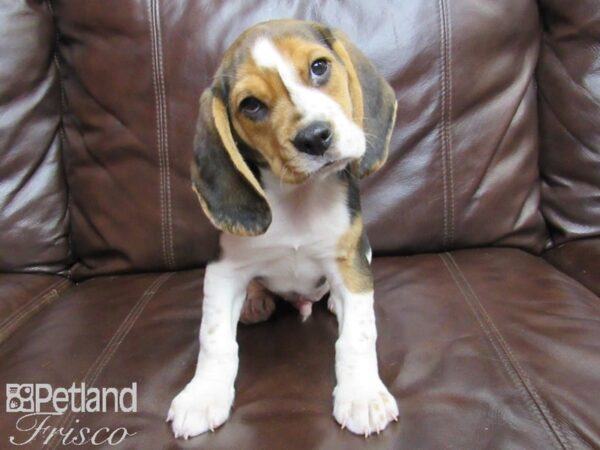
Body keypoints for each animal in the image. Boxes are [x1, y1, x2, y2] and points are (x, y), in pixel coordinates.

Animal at [166, 19, 398, 438]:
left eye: (320, 67)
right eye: (251, 105)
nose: (315, 137)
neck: (298, 199)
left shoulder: (349, 260)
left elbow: (358, 335)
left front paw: (362, 396)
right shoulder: (223, 270)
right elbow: (214, 339)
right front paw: (203, 395)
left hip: (364, 249)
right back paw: (256, 301)